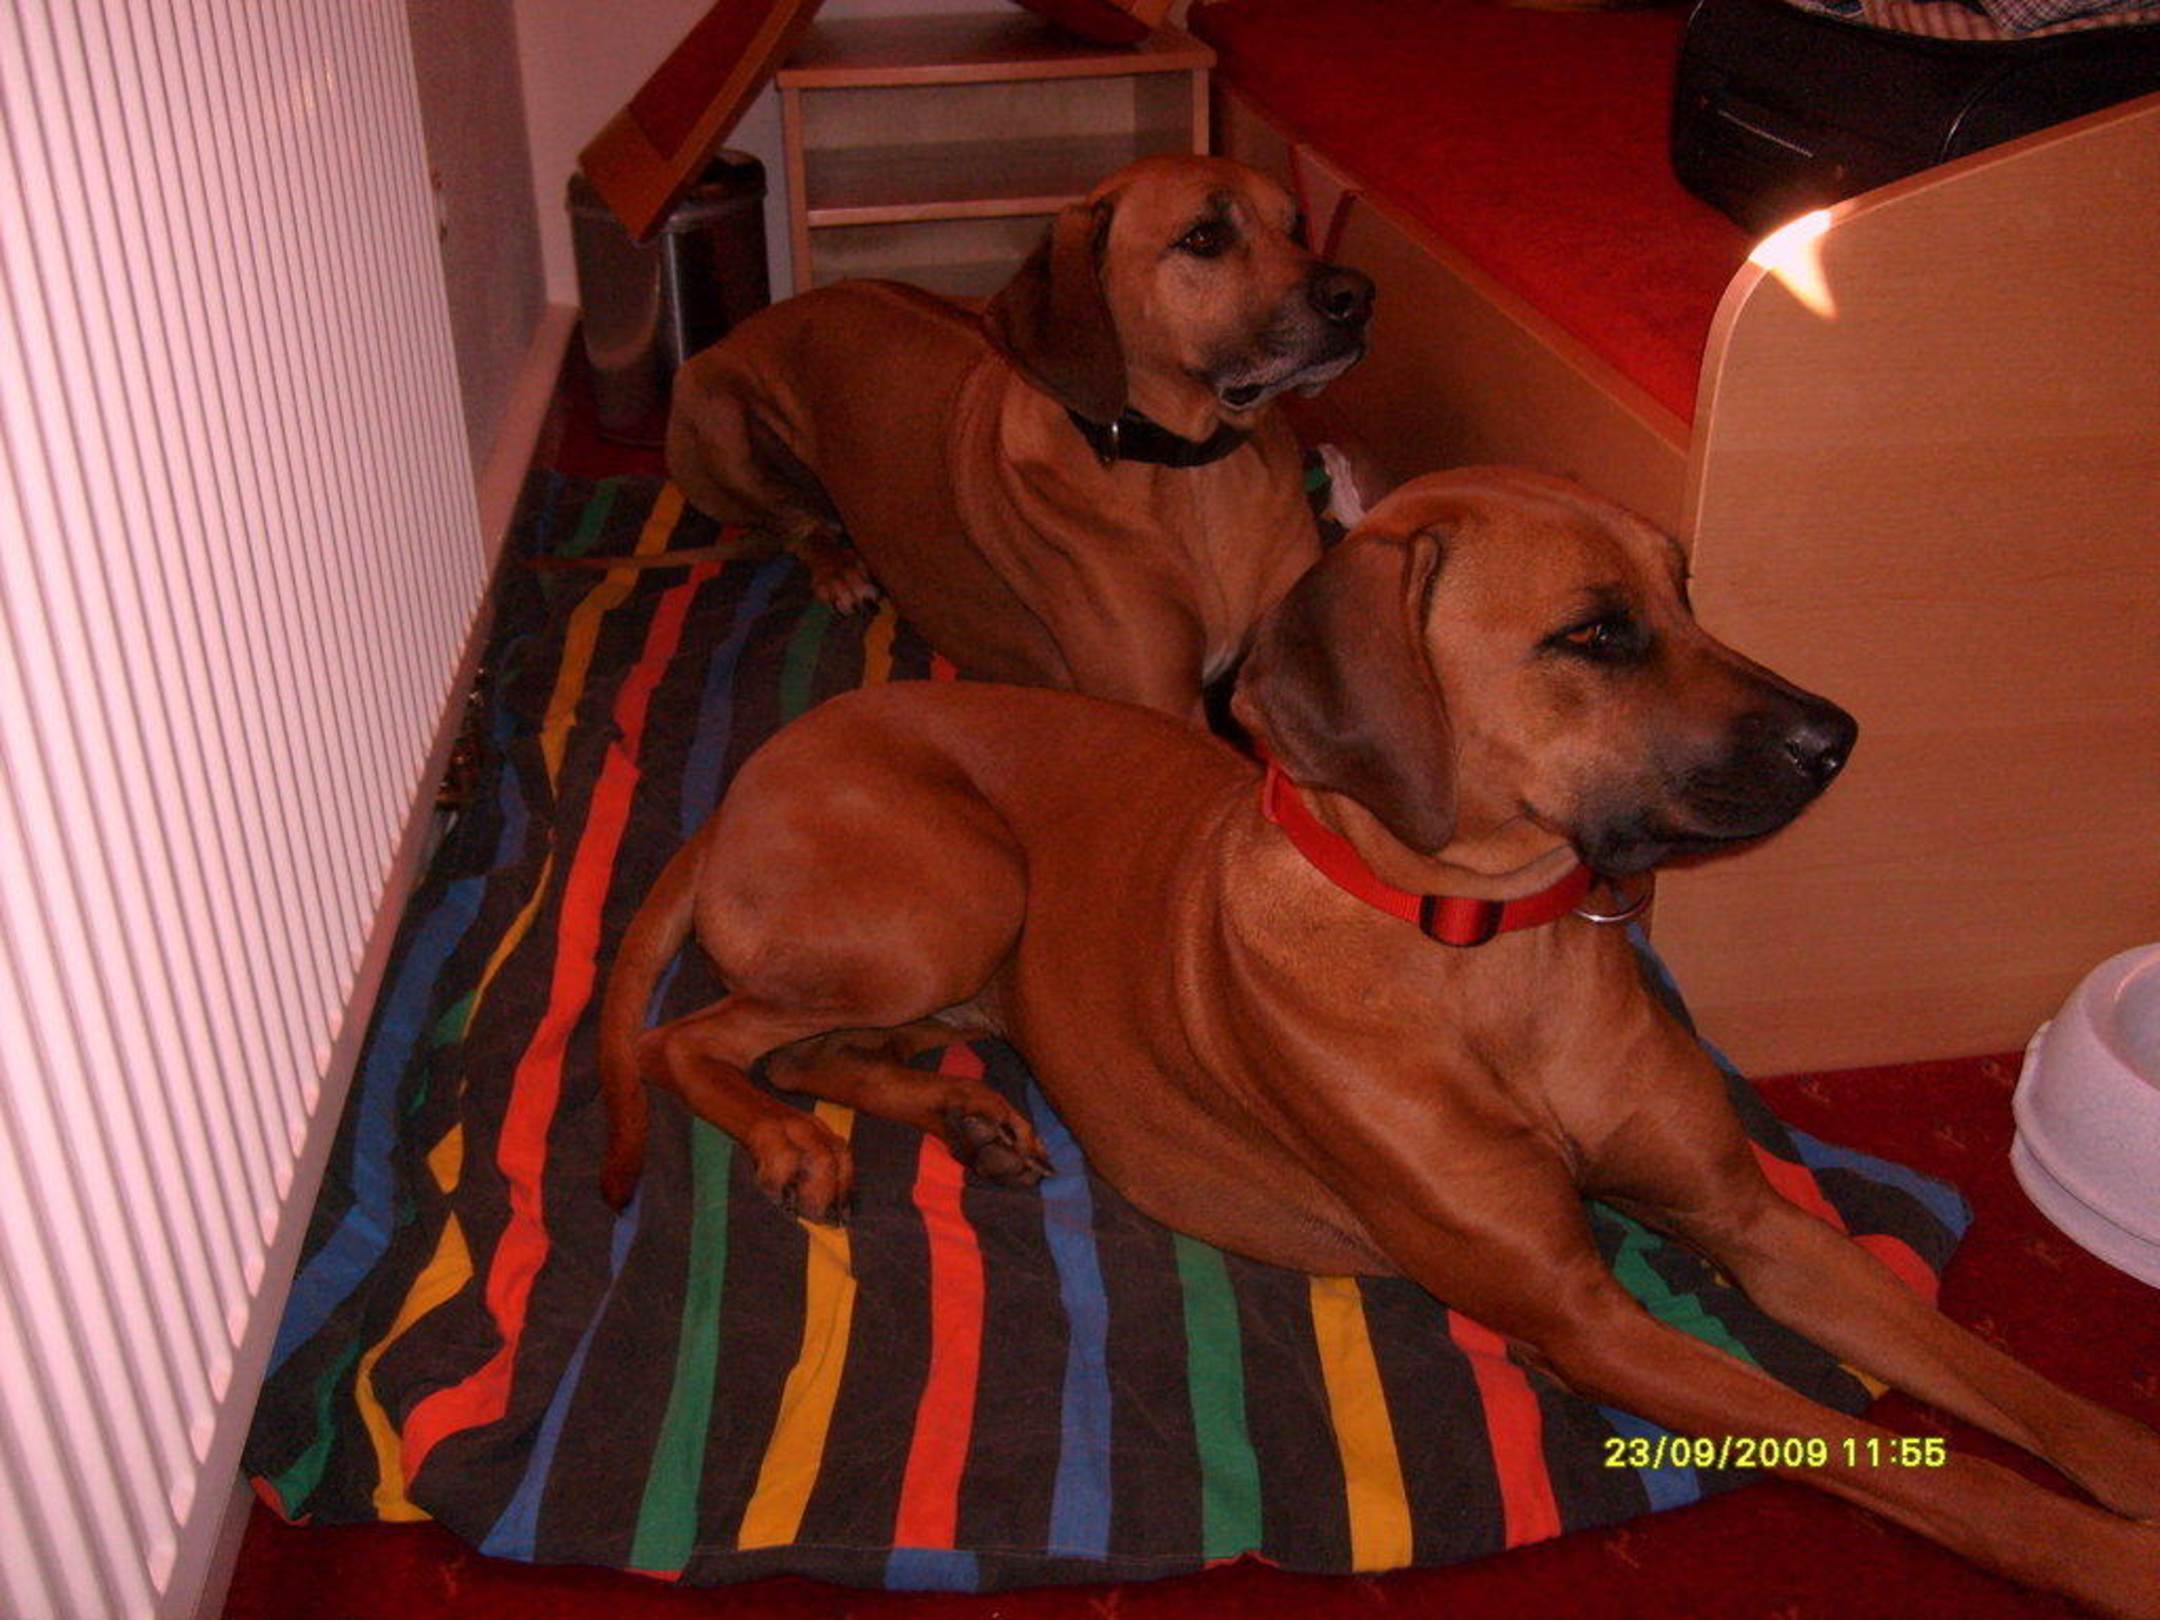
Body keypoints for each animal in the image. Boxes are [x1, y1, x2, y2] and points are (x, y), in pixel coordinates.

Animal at [598, 469, 2160, 1614]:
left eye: (1686, 590)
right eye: (1596, 632)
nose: (1838, 738)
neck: (1494, 954)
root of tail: (744, 783)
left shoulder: (1751, 1220)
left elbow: (2010, 1389)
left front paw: (2130, 1470)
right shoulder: (1583, 1313)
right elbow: (1924, 1467)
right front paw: (2112, 1559)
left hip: (961, 959)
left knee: (807, 1045)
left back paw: (958, 1114)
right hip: (958, 888)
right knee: (696, 1035)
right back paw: (795, 1143)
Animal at [664, 154, 1374, 722]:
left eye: (1296, 226)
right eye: (1203, 237)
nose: (1358, 294)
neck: (1192, 472)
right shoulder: (1158, 705)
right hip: (710, 406)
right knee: (792, 520)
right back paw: (836, 566)